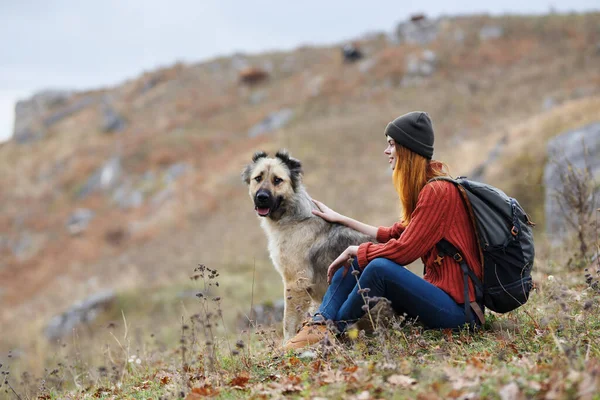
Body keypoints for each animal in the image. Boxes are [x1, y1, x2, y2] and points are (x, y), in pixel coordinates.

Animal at [241, 150, 372, 340]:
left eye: (277, 180)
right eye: (258, 178)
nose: (262, 198)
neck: (293, 218)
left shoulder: (296, 282)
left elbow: (288, 323)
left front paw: (288, 342)